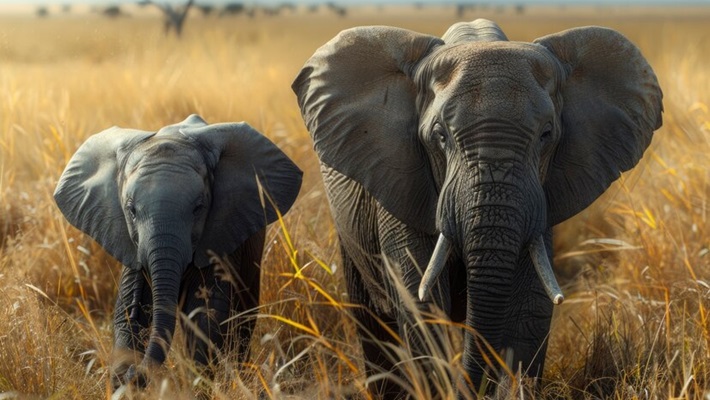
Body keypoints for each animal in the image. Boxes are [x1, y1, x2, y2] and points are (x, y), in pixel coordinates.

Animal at [54, 114, 302, 387]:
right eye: (131, 210)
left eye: (198, 208)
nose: (135, 374)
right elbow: (128, 315)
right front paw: (121, 380)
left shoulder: (218, 236)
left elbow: (206, 317)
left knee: (243, 315)